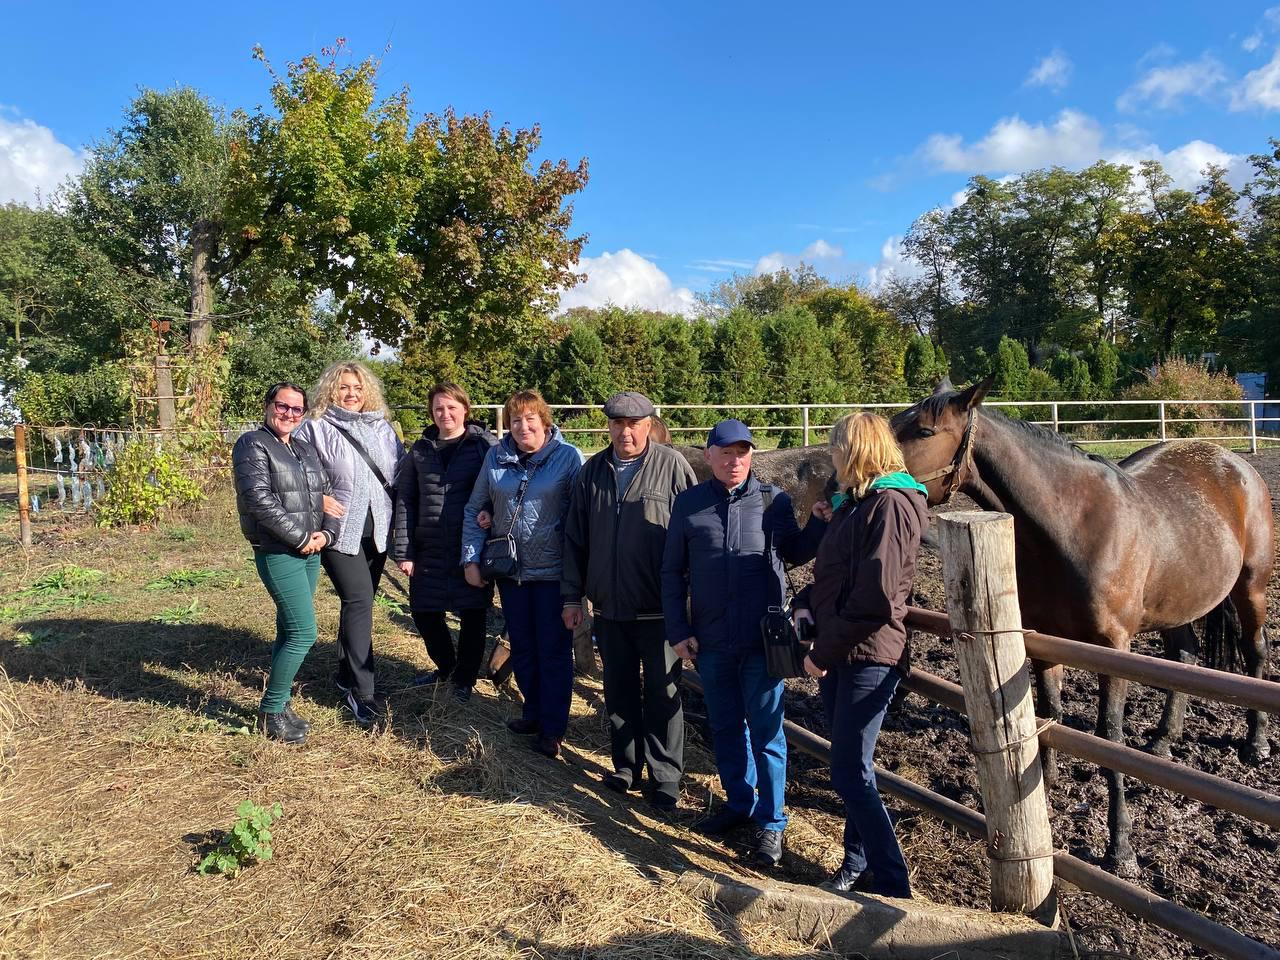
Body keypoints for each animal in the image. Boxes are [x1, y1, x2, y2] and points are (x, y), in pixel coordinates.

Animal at [890, 378, 1269, 880]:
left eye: (924, 431)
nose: (846, 478)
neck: (1070, 527)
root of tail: (1234, 462)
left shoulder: (1114, 649)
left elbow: (1109, 740)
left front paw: (1120, 848)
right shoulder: (1043, 641)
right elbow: (1047, 712)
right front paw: (1043, 790)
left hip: (1252, 588)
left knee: (1256, 653)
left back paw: (1256, 744)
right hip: (1178, 603)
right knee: (1183, 657)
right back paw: (1164, 740)